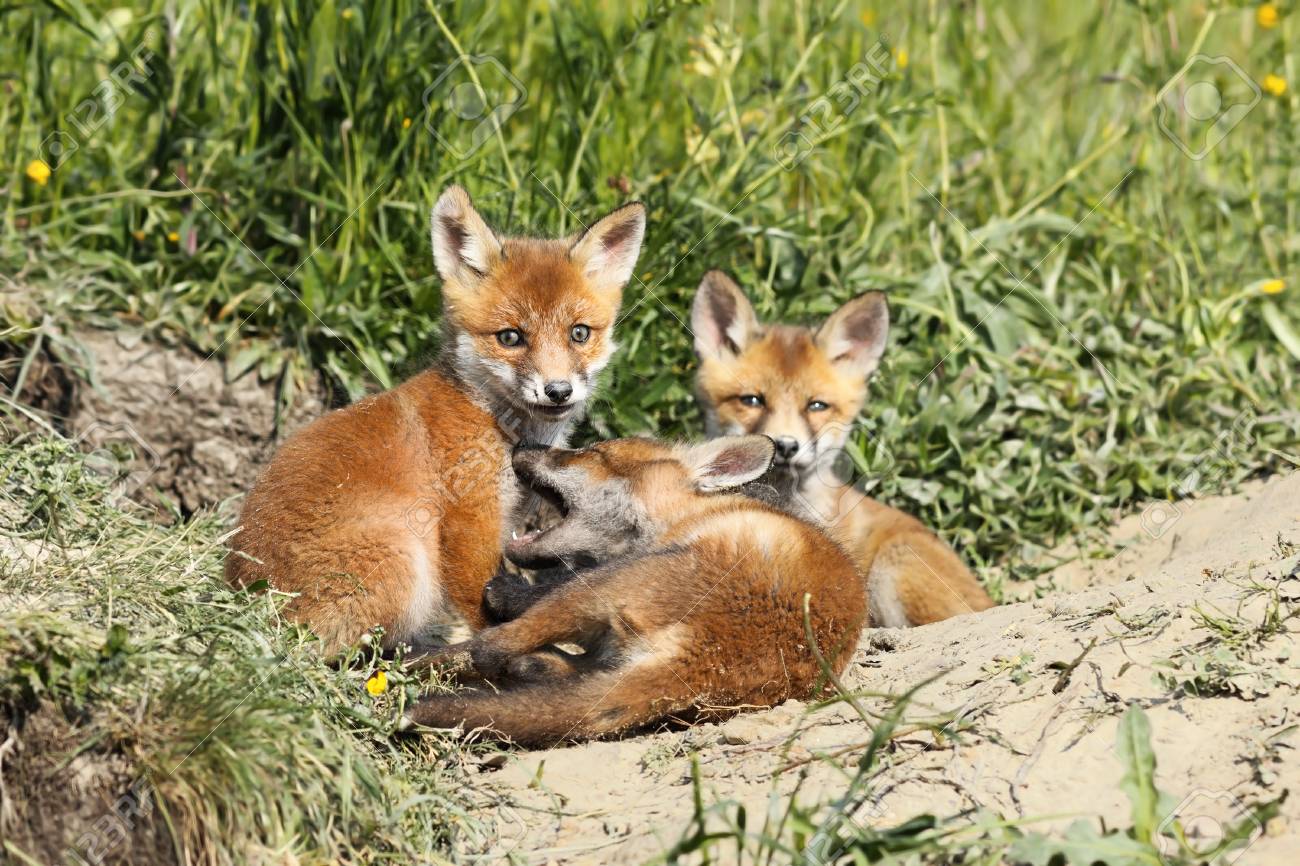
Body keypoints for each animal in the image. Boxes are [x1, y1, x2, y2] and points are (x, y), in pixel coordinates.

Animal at [224, 186, 646, 652]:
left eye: (579, 333)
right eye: (510, 337)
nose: (558, 391)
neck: (492, 419)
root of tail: (243, 594)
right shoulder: (467, 520)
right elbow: (485, 607)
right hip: (406, 561)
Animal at [408, 435, 867, 746]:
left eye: (592, 452)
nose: (520, 441)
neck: (690, 514)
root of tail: (705, 665)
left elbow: (534, 598)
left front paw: (508, 592)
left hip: (617, 582)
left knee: (490, 648)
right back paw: (535, 669)